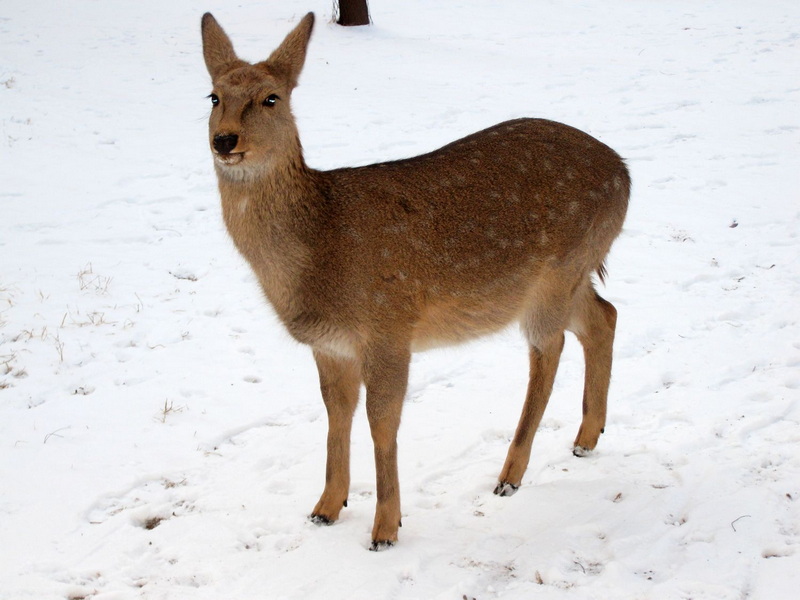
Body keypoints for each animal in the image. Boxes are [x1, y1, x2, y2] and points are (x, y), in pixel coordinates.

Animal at [200, 11, 632, 552]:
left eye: (271, 98)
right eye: (213, 96)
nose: (225, 140)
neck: (320, 248)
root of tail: (626, 174)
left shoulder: (388, 325)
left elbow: (382, 423)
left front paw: (385, 529)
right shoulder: (330, 345)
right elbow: (336, 414)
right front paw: (325, 508)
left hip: (558, 270)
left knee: (549, 350)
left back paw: (510, 475)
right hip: (568, 276)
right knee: (604, 315)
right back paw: (586, 438)